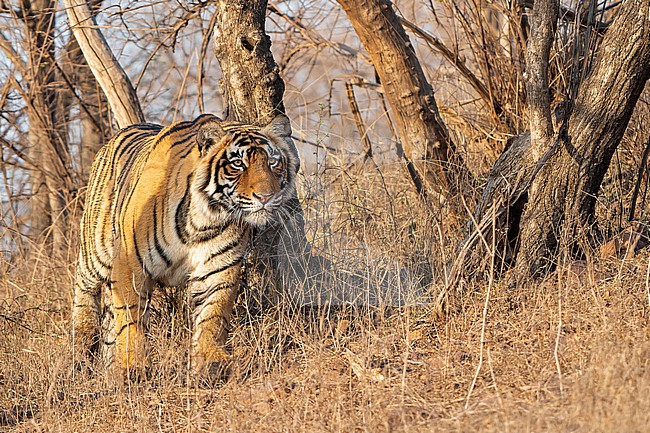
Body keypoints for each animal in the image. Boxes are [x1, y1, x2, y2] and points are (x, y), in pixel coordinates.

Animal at [72, 113, 299, 377]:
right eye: (237, 164)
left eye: (273, 163)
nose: (266, 197)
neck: (205, 219)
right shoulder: (130, 264)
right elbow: (131, 318)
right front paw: (134, 366)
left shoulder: (218, 268)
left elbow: (213, 315)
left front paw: (211, 362)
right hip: (95, 254)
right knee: (84, 292)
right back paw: (80, 349)